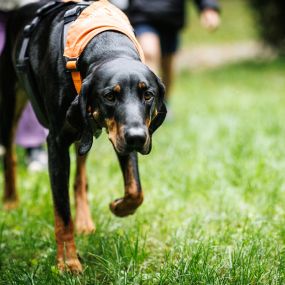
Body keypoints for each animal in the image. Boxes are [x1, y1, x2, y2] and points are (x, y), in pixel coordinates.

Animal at [0, 0, 165, 270]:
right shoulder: (56, 144)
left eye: (148, 94)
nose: (137, 138)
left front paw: (120, 207)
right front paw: (68, 262)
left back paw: (84, 220)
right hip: (10, 103)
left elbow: (135, 190)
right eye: (110, 96)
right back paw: (11, 201)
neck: (106, 46)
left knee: (81, 176)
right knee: (10, 155)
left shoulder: (122, 132)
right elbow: (62, 211)